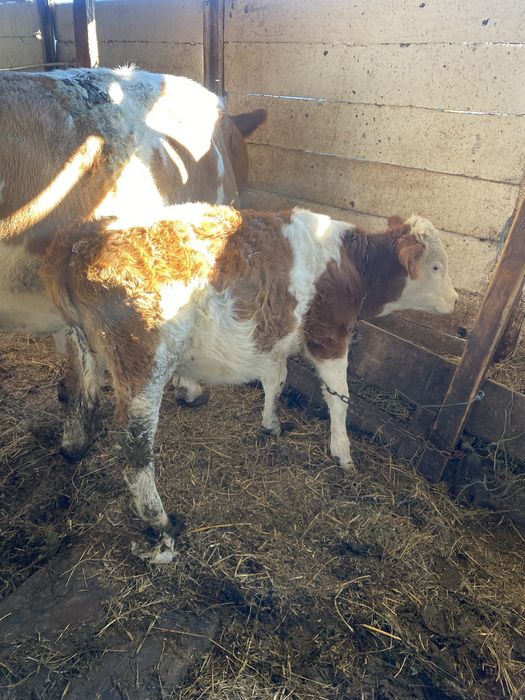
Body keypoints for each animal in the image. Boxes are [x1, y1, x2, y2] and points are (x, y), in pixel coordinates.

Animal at [41, 204, 458, 561]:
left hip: (78, 340)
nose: (455, 300)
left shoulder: (275, 337)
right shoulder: (328, 336)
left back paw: (74, 448)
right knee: (134, 449)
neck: (350, 263)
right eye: (437, 266)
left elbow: (276, 379)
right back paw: (160, 523)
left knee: (76, 394)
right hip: (143, 362)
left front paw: (271, 424)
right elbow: (339, 398)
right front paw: (342, 452)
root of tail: (76, 239)